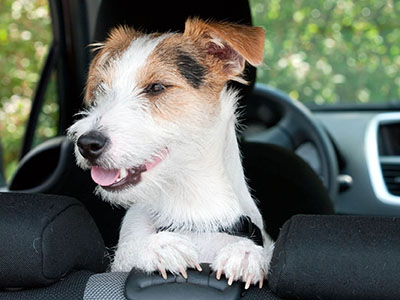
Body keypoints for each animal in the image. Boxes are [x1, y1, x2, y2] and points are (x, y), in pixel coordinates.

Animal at [69, 17, 276, 288]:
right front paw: (157, 247)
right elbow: (130, 250)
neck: (191, 211)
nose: (87, 144)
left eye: (156, 87)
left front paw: (247, 253)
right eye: (103, 90)